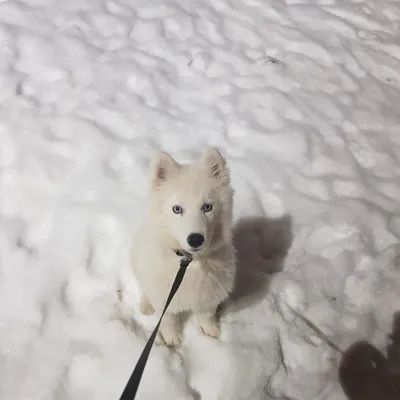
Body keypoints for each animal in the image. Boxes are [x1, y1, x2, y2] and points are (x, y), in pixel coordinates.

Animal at [131, 148, 238, 346]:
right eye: (177, 209)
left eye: (207, 207)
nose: (195, 239)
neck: (189, 262)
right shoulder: (165, 297)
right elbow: (168, 320)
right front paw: (172, 340)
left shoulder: (208, 296)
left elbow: (206, 315)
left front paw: (211, 332)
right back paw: (146, 305)